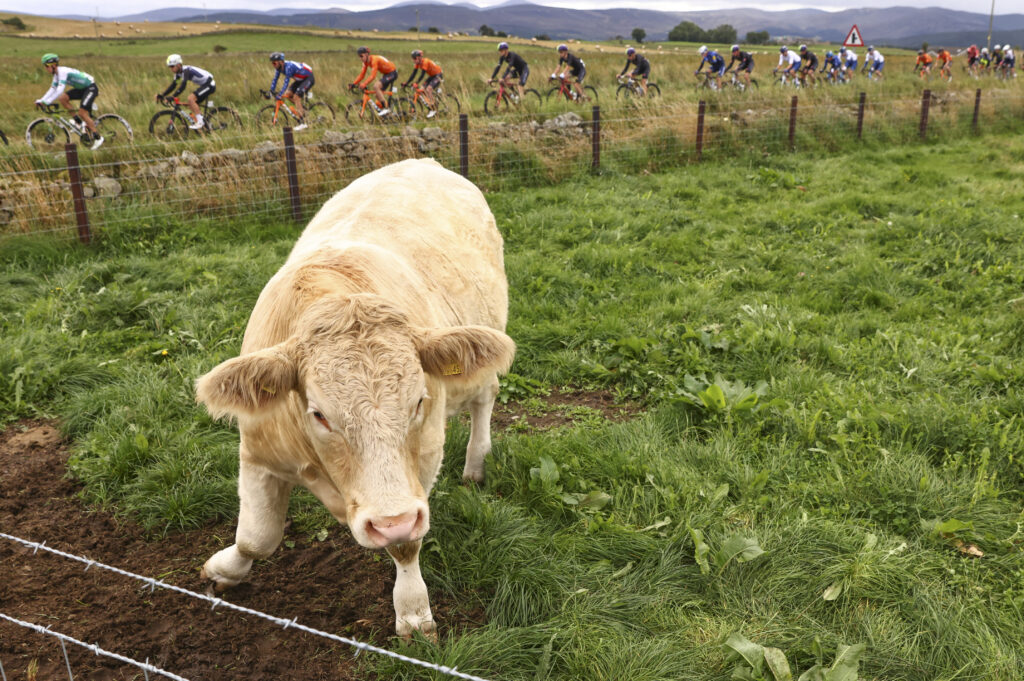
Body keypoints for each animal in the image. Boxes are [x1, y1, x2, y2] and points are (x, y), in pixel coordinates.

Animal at [195, 158, 515, 637]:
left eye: (418, 402)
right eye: (319, 414)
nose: (389, 521)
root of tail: (423, 162)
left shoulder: (422, 463)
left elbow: (405, 546)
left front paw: (413, 611)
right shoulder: (256, 451)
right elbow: (256, 537)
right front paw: (225, 569)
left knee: (484, 398)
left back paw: (476, 464)